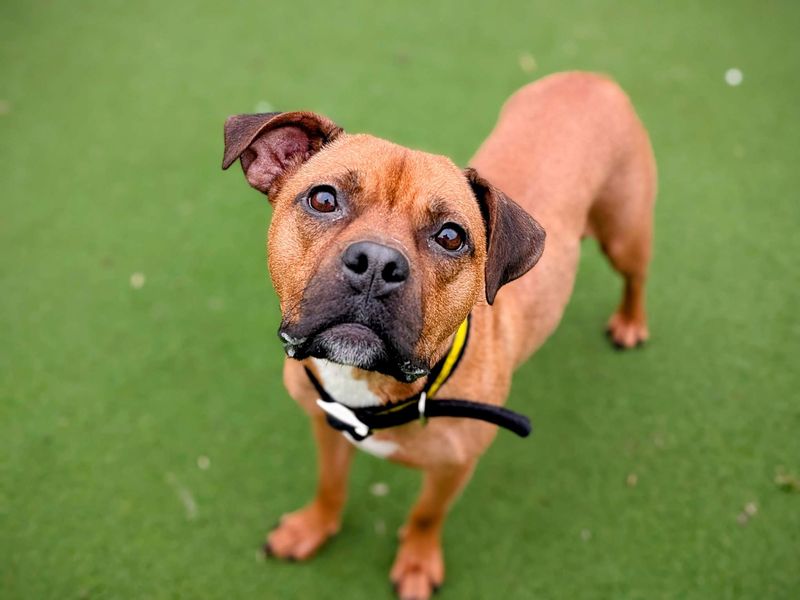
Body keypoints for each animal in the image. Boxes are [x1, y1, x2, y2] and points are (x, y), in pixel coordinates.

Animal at [220, 71, 656, 600]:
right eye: (323, 199)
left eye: (451, 236)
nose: (377, 264)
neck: (372, 385)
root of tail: (589, 77)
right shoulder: (325, 425)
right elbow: (330, 484)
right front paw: (314, 526)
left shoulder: (454, 468)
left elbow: (427, 513)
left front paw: (417, 561)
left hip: (624, 233)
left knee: (636, 276)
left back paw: (631, 322)